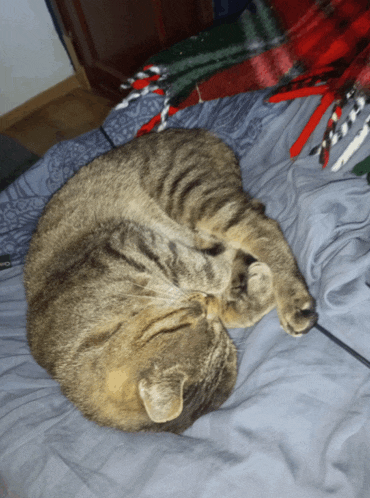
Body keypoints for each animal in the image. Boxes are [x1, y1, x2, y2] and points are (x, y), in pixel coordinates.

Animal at [24, 127, 316, 432]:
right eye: (215, 335)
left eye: (186, 319)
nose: (202, 303)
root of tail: (198, 131)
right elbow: (226, 293)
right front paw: (248, 288)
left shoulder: (129, 242)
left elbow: (204, 269)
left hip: (189, 195)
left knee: (262, 229)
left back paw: (289, 297)